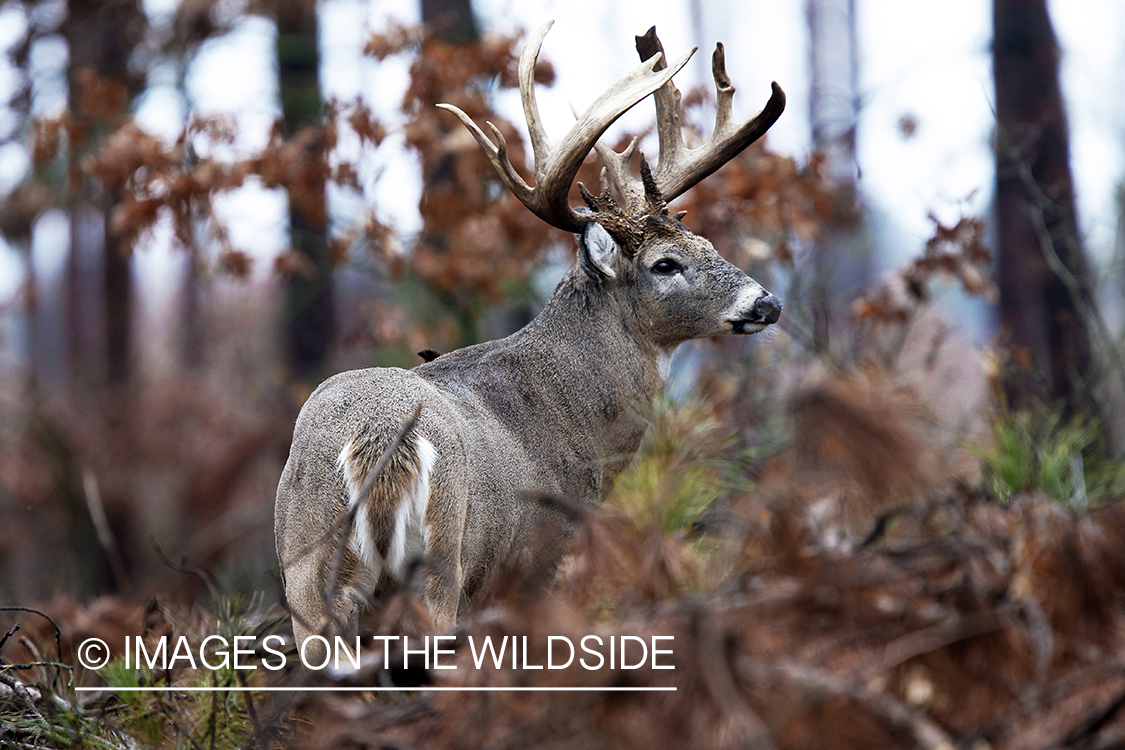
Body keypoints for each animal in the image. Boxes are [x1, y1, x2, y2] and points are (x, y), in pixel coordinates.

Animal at [273, 20, 787, 652]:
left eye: (709, 244)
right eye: (666, 264)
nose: (768, 302)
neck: (575, 416)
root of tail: (376, 436)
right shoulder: (540, 549)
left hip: (304, 567)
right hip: (444, 557)